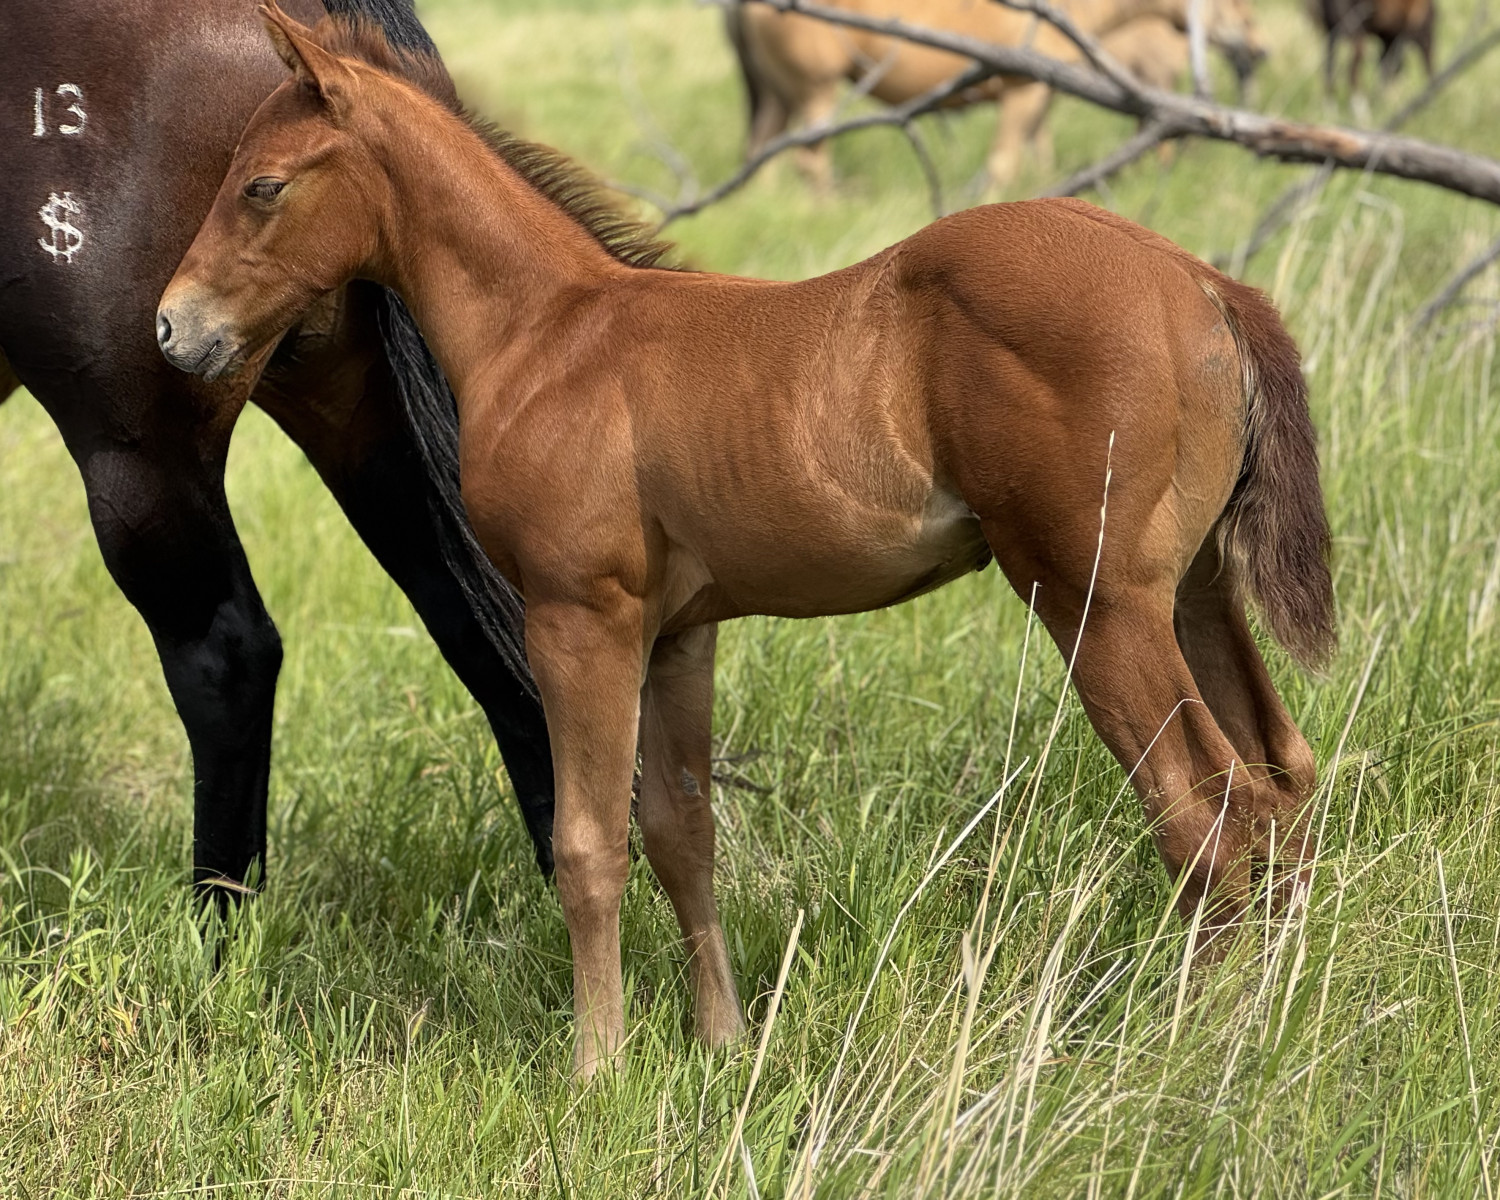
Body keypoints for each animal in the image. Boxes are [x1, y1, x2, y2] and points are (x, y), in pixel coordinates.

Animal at [0, 0, 555, 898]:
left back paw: (216, 923)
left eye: (261, 187)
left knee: (227, 656)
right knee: (486, 629)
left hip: (136, 450)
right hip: (360, 418)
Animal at [724, 0, 1266, 188]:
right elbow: (1005, 163)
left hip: (775, 95)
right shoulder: (1022, 91)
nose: (1261, 51)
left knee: (760, 152)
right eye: (1240, 8)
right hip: (815, 92)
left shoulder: (1043, 94)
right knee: (808, 160)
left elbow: (1039, 152)